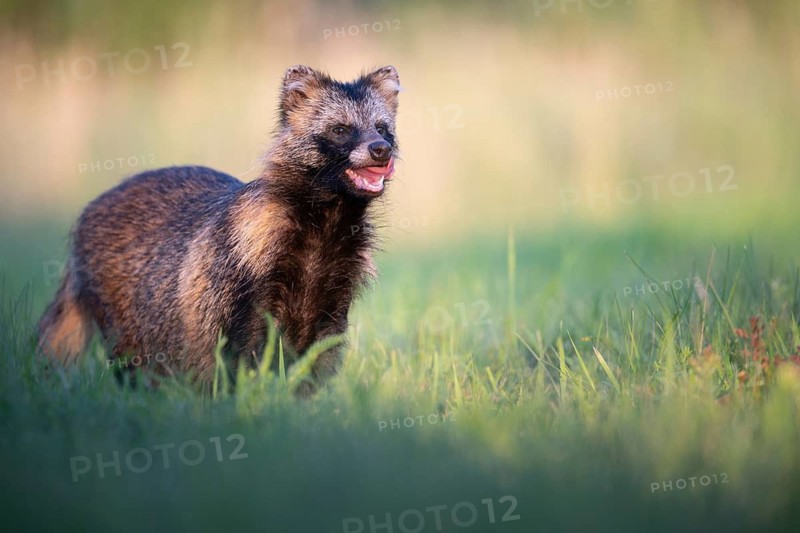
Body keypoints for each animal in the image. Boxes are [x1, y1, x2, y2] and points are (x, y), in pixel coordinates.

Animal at [37, 65, 401, 395]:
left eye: (382, 128)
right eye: (340, 129)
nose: (380, 149)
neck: (325, 225)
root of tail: (89, 212)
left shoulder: (335, 289)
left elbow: (314, 357)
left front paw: (297, 401)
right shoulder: (242, 272)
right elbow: (241, 358)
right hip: (119, 306)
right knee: (133, 360)